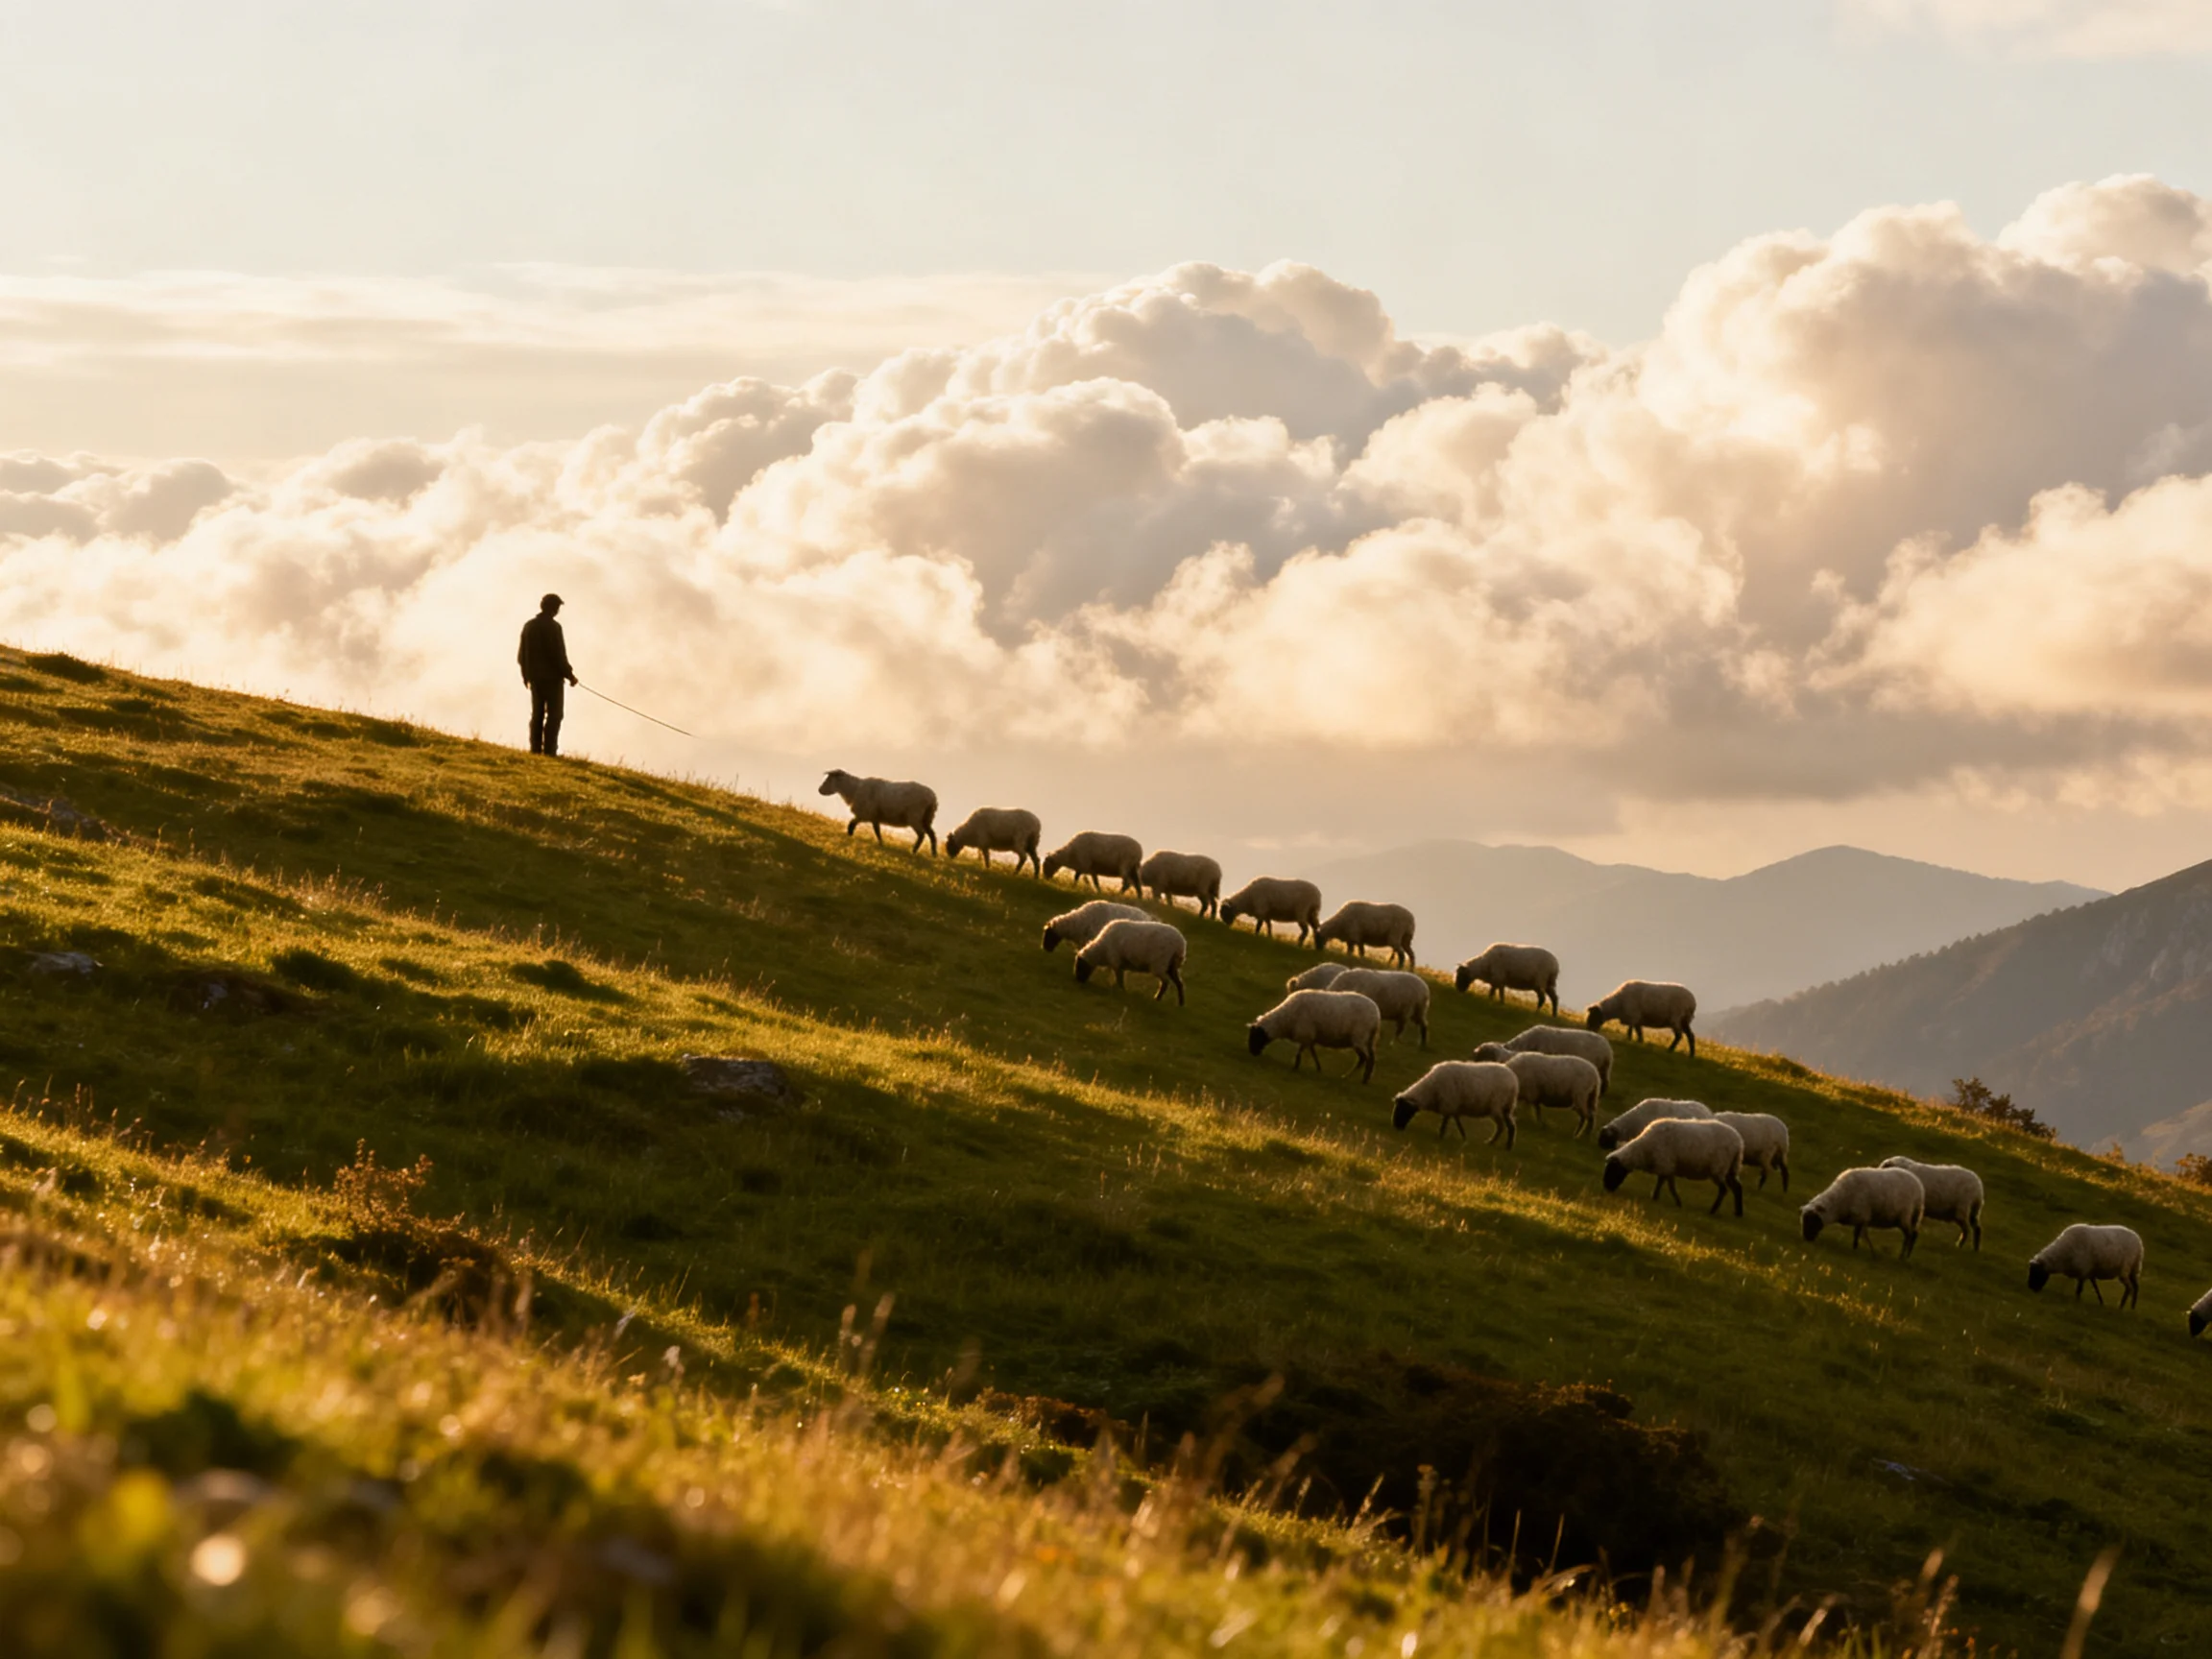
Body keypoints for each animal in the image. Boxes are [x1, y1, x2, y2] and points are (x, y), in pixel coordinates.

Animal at [1247, 989, 1382, 1083]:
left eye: (1256, 1036)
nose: (1253, 1053)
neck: (1285, 1021)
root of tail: (1376, 1014)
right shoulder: (1310, 1037)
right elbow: (1313, 1052)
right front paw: (1318, 1068)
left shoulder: (1305, 1033)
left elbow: (1300, 1052)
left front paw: (1295, 1067)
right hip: (1368, 1039)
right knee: (1371, 1058)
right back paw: (1365, 1079)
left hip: (1359, 1038)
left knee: (1364, 1058)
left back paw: (1352, 1077)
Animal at [1391, 1061, 1519, 1145]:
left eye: (1402, 1110)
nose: (1396, 1127)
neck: (1430, 1090)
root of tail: (1514, 1080)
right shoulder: (1453, 1106)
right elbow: (1458, 1122)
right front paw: (1464, 1137)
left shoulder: (1448, 1104)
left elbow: (1445, 1122)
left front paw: (1441, 1136)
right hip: (1507, 1107)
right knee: (1511, 1126)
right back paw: (1508, 1146)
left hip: (1497, 1106)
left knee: (1501, 1127)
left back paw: (1490, 1142)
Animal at [1471, 1047, 1602, 1136]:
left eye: (1481, 1056)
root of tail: (1595, 1074)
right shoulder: (1531, 1095)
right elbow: (1535, 1109)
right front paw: (1538, 1123)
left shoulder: (1530, 1093)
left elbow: (1532, 1109)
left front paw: (1533, 1122)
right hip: (1588, 1097)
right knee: (1587, 1116)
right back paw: (1577, 1134)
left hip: (1581, 1096)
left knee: (1588, 1116)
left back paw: (1583, 1135)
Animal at [1602, 1118, 1746, 1215]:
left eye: (1612, 1170)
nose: (1607, 1188)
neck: (1644, 1149)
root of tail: (1739, 1143)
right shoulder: (1667, 1167)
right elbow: (1663, 1183)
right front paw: (1658, 1197)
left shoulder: (1666, 1163)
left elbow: (1669, 1186)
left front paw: (1674, 1202)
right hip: (1731, 1168)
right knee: (1737, 1188)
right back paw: (1738, 1213)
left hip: (1719, 1167)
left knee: (1723, 1190)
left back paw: (1713, 1210)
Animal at [1800, 1167, 1925, 1257]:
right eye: (1804, 1220)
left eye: (1813, 1219)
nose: (1807, 1238)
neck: (1840, 1201)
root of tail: (1918, 1183)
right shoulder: (1859, 1219)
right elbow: (1859, 1234)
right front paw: (1859, 1249)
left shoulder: (1862, 1216)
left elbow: (1859, 1234)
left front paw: (1861, 1250)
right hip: (1912, 1216)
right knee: (1913, 1234)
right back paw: (1906, 1256)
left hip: (1905, 1216)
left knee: (1909, 1235)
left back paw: (1901, 1257)